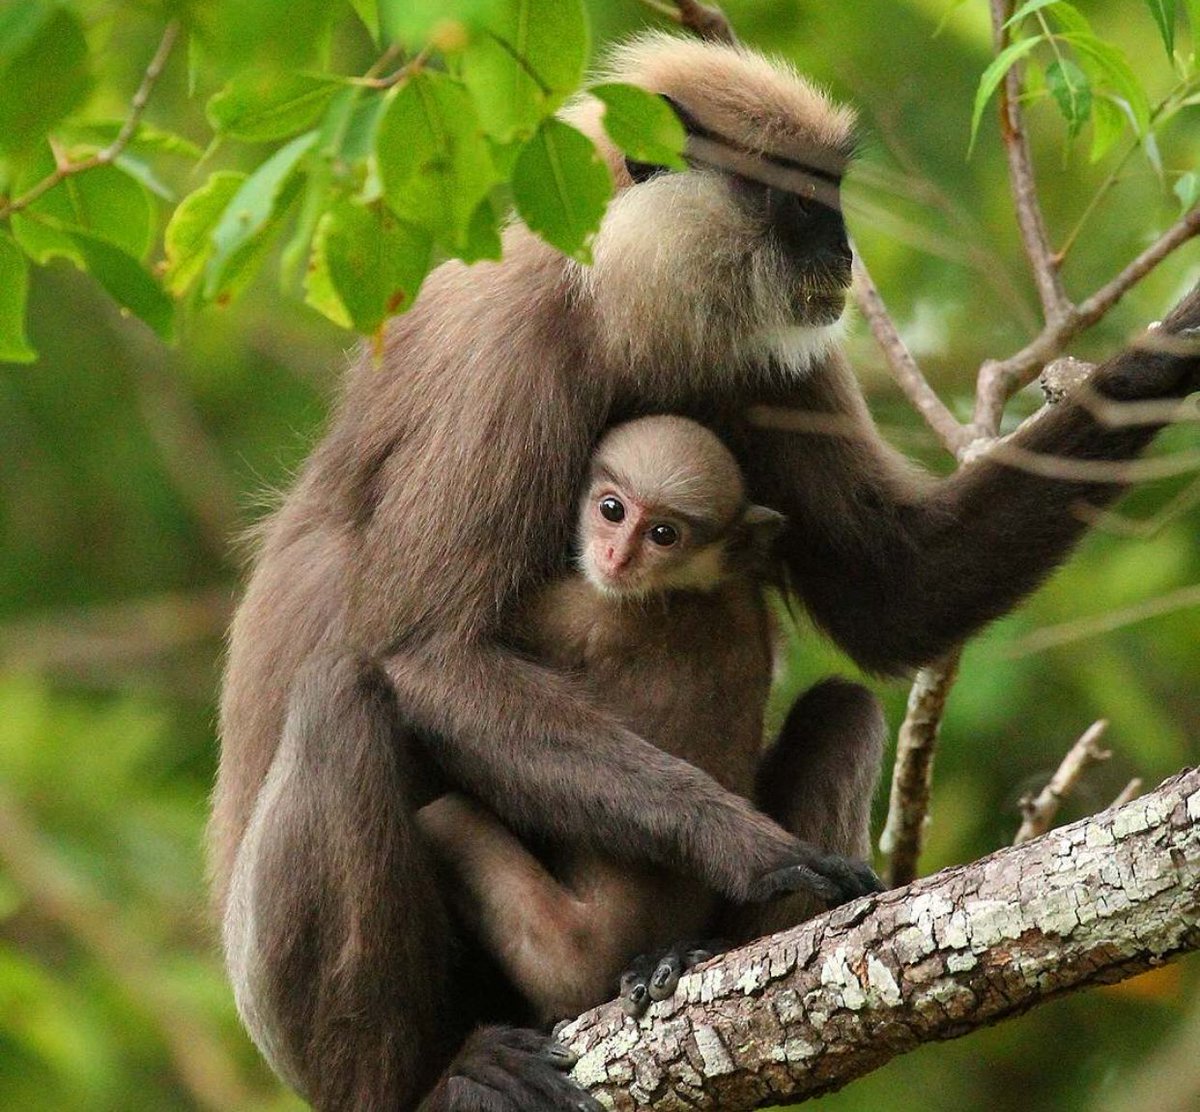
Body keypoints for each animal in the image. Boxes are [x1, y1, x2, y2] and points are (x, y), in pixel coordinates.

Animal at [417, 414, 867, 1024]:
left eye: (663, 534)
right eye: (612, 510)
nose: (617, 556)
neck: (683, 590)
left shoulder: (578, 607)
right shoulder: (743, 599)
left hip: (565, 956)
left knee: (441, 817)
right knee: (848, 704)